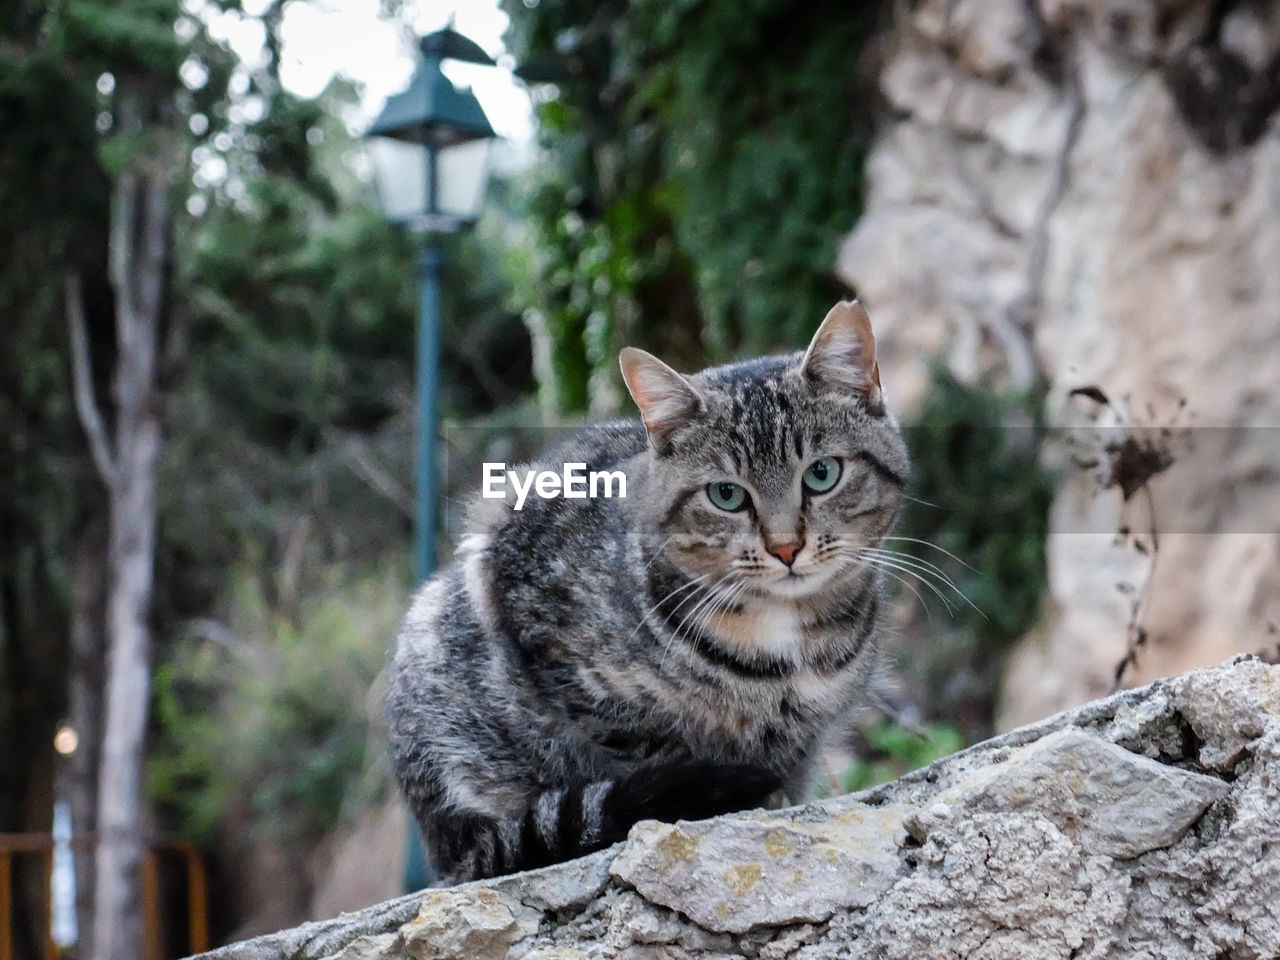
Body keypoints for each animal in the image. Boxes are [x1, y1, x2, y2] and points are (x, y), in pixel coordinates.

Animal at [384, 300, 906, 885]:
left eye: (821, 473)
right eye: (726, 495)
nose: (786, 547)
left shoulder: (808, 735)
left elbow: (790, 768)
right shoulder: (562, 660)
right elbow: (655, 751)